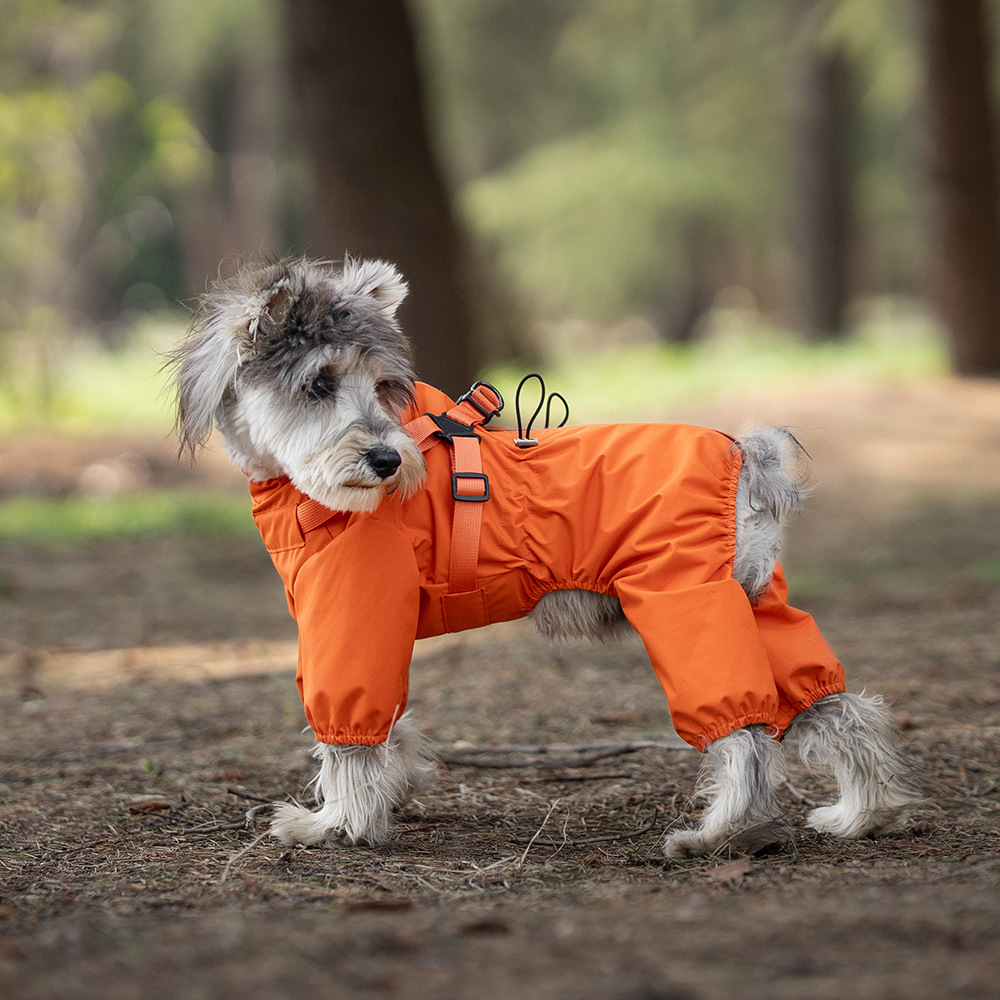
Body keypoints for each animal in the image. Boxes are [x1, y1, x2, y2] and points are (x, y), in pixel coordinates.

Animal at [170, 254, 920, 856]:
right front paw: (393, 791)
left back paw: (724, 835)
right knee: (838, 708)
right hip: (757, 606)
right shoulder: (375, 628)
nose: (387, 460)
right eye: (319, 384)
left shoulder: (350, 621)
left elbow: (348, 736)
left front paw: (336, 825)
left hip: (685, 606)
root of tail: (745, 459)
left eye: (381, 385)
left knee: (743, 735)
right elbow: (389, 725)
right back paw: (861, 816)